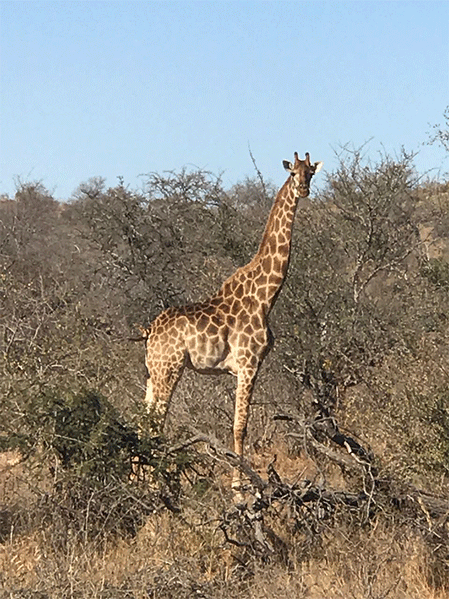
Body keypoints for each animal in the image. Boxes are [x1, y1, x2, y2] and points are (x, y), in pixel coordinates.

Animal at [141, 152, 323, 496]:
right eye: (293, 173)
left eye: (311, 173)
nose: (304, 190)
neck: (265, 296)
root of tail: (149, 333)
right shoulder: (248, 363)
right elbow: (240, 426)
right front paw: (240, 487)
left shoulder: (246, 367)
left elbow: (240, 424)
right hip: (169, 368)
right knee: (156, 420)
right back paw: (155, 484)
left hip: (153, 371)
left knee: (144, 416)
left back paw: (137, 479)